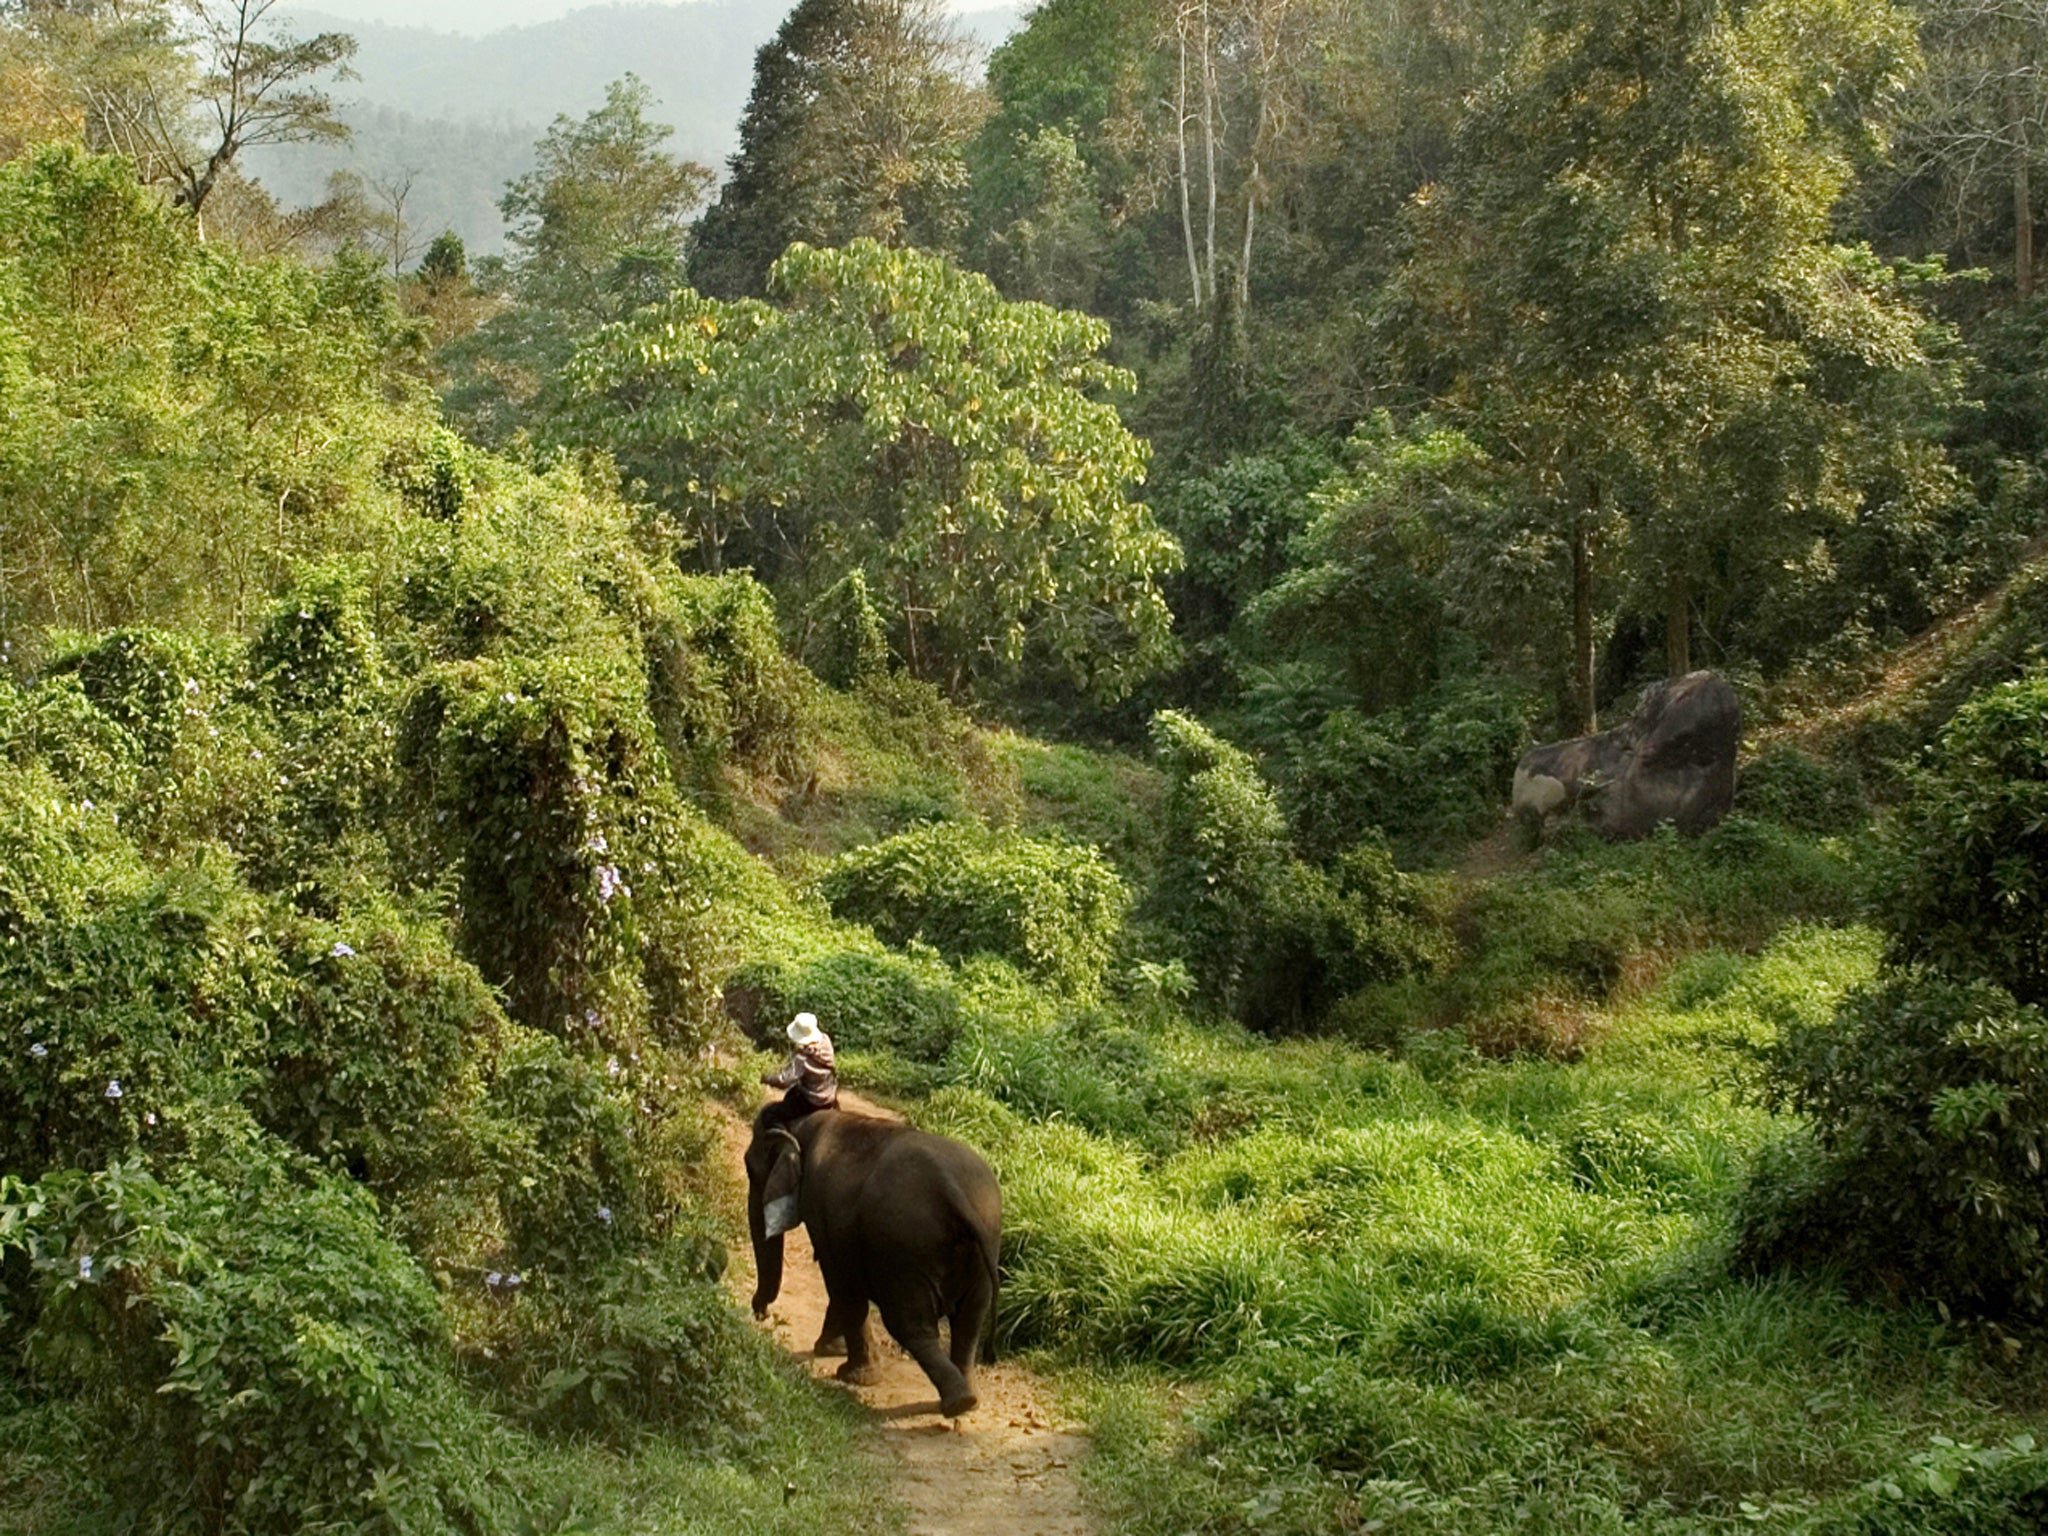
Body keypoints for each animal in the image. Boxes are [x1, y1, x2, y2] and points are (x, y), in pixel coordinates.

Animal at [753, 1105, 1007, 1417]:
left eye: (750, 1168)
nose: (761, 1313)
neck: (803, 1123)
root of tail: (951, 1188)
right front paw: (833, 1352)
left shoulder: (820, 1209)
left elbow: (841, 1284)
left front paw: (848, 1371)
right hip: (983, 1242)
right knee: (969, 1321)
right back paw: (968, 1401)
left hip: (904, 1251)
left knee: (909, 1326)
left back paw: (958, 1403)